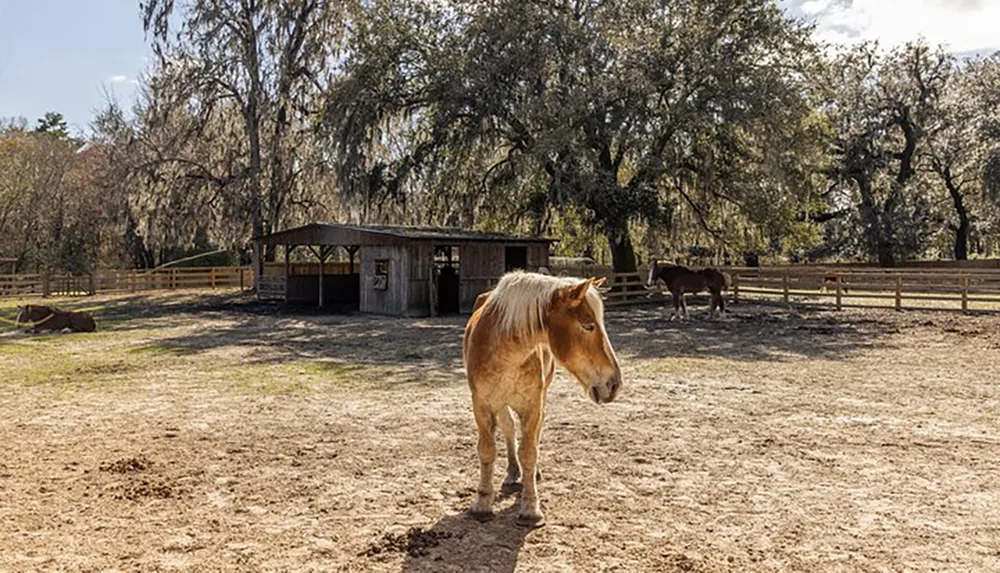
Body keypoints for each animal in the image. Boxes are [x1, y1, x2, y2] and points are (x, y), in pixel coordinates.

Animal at [464, 270, 620, 524]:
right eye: (588, 325)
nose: (614, 383)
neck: (505, 352)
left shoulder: (532, 406)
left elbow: (529, 452)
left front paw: (530, 508)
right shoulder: (482, 405)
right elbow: (487, 451)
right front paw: (482, 503)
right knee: (509, 428)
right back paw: (512, 472)